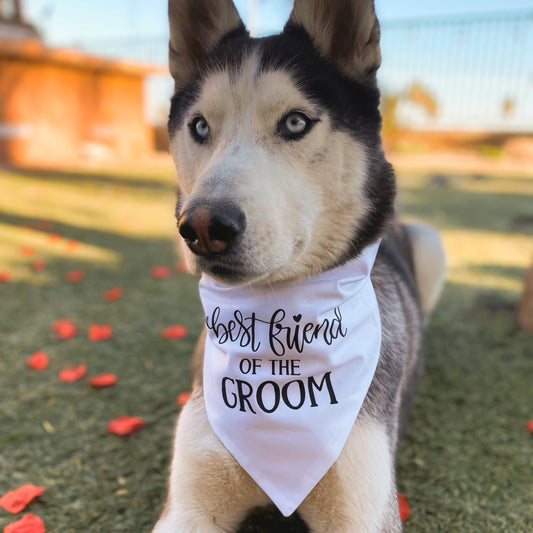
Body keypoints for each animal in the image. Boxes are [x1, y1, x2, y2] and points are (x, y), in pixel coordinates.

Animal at [155, 1, 444, 532]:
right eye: (200, 126)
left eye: (294, 123)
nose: (203, 226)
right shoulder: (189, 505)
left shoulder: (364, 510)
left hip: (432, 243)